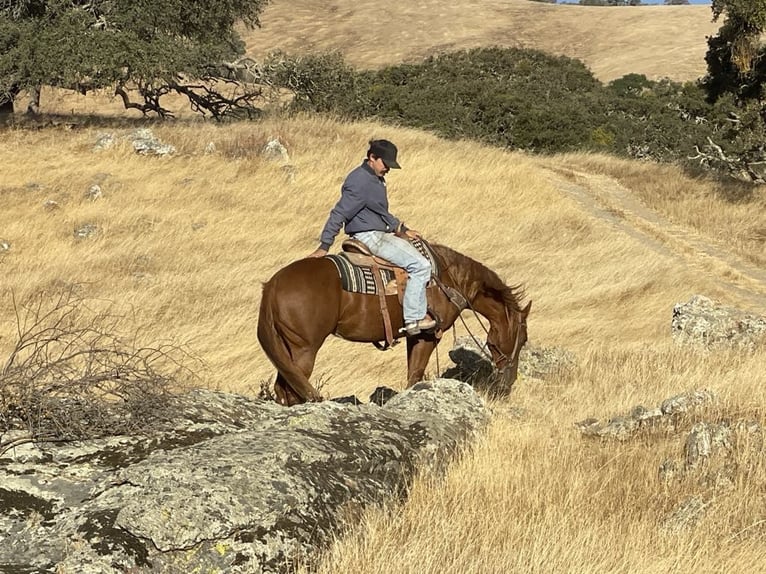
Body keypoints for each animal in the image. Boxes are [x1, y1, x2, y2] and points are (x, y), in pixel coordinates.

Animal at [258, 241, 536, 408]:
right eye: (522, 339)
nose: (508, 383)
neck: (450, 280)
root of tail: (272, 285)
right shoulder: (428, 336)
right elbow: (415, 375)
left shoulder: (414, 337)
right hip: (304, 350)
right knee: (292, 390)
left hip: (288, 350)